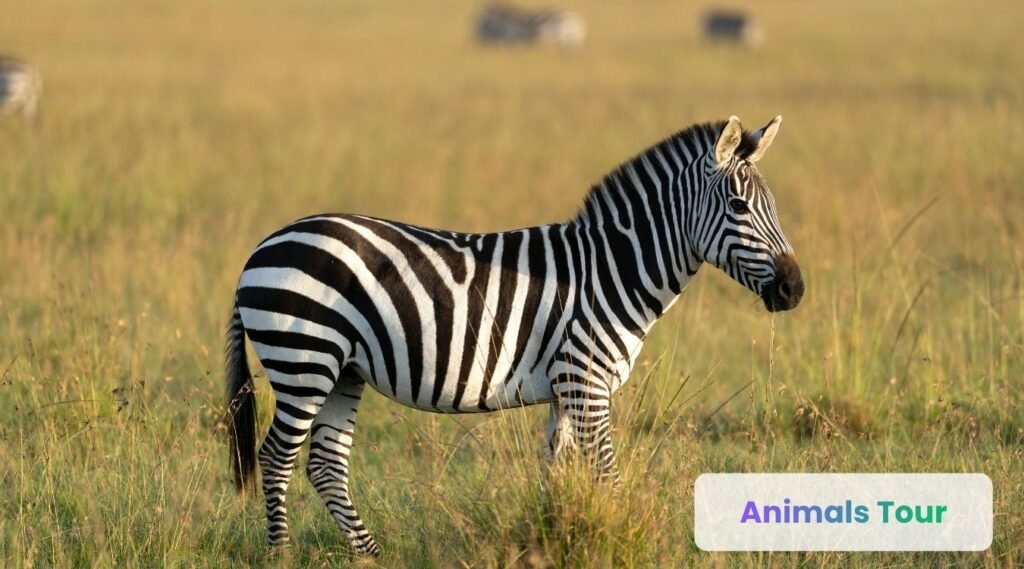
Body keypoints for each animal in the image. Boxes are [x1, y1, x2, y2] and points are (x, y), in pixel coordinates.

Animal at [225, 116, 804, 556]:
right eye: (739, 208)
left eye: (774, 207)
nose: (795, 289)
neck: (611, 270)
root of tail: (262, 245)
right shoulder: (586, 382)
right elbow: (608, 476)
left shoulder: (567, 389)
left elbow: (559, 474)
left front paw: (560, 532)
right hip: (304, 359)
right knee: (276, 457)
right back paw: (281, 554)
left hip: (343, 369)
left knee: (326, 462)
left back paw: (370, 555)